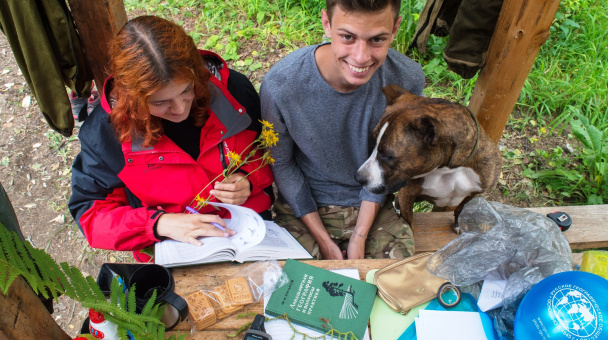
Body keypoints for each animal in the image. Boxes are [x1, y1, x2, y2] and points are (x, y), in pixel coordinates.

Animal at [354, 84, 502, 231]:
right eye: (372, 143)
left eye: (388, 156)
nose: (358, 177)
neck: (449, 169)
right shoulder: (406, 194)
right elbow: (408, 221)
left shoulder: (474, 192)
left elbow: (460, 208)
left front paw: (457, 223)